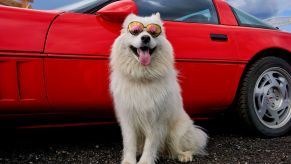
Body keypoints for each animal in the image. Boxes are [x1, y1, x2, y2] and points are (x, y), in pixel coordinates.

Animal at [109, 13, 208, 164]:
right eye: (135, 31)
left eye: (153, 32)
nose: (145, 38)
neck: (142, 79)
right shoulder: (128, 118)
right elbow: (130, 143)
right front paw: (129, 161)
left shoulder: (156, 119)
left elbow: (150, 144)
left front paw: (145, 161)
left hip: (177, 133)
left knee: (188, 147)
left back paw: (184, 155)